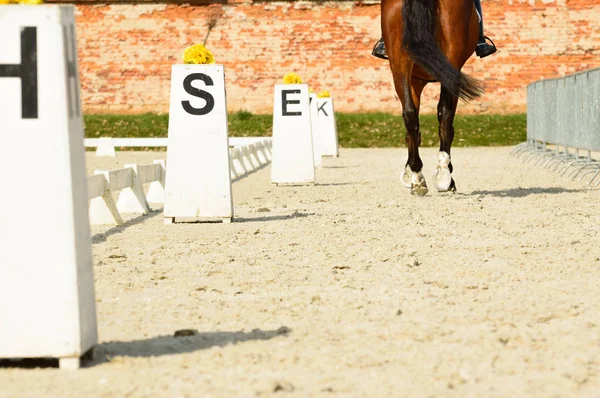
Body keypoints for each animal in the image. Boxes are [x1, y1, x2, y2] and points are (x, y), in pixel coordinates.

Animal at [384, 0, 482, 196]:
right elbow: (446, 123)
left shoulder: (414, 80)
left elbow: (413, 127)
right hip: (451, 62)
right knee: (445, 115)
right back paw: (443, 174)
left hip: (399, 65)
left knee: (409, 114)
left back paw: (418, 177)